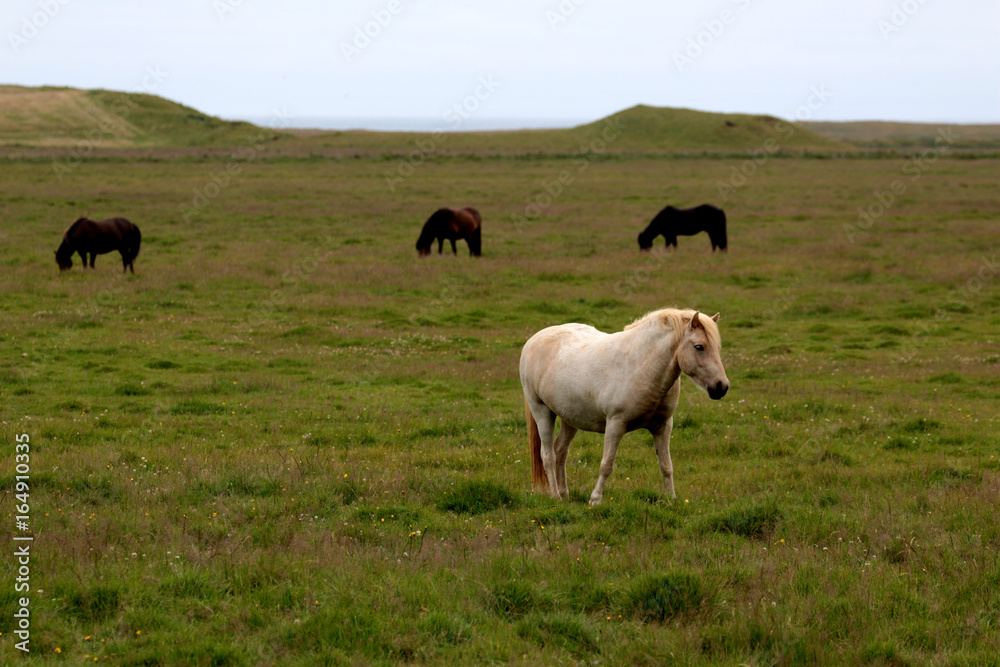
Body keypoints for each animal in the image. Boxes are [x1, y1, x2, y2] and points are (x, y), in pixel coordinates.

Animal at [524, 310, 728, 504]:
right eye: (699, 347)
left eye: (717, 348)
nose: (721, 386)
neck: (642, 365)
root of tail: (534, 339)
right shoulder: (615, 424)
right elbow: (606, 465)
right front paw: (595, 499)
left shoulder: (663, 426)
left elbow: (666, 466)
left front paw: (672, 499)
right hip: (542, 412)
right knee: (548, 455)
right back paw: (555, 496)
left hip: (570, 418)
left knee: (560, 451)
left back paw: (564, 493)